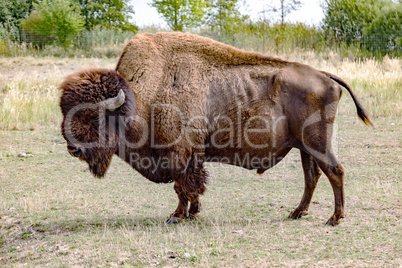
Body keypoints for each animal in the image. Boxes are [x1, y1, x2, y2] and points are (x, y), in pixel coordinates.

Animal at [60, 33, 374, 226]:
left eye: (94, 117)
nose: (73, 149)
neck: (141, 94)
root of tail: (325, 76)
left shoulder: (180, 152)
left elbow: (181, 186)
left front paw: (177, 216)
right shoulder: (190, 155)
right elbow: (188, 186)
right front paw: (192, 213)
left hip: (317, 143)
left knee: (334, 171)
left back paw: (334, 219)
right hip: (304, 147)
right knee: (313, 177)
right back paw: (297, 213)